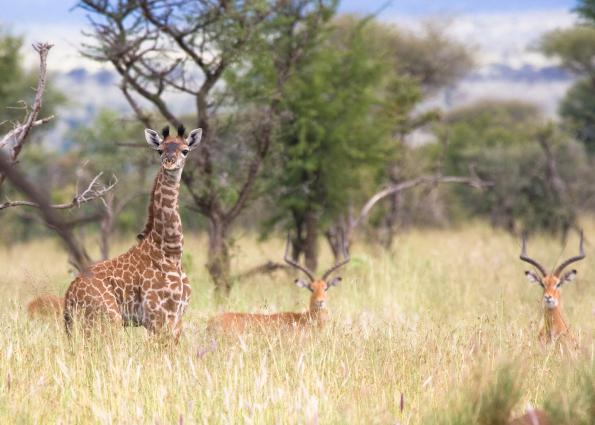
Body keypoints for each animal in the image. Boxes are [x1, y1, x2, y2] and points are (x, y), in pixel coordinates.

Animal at [63, 124, 203, 340]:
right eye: (160, 150)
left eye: (185, 150)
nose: (169, 163)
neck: (170, 252)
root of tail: (69, 295)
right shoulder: (158, 317)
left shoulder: (177, 317)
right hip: (107, 320)